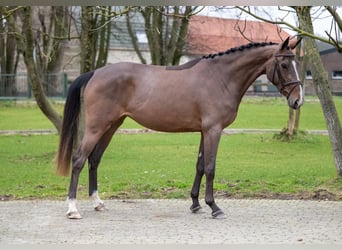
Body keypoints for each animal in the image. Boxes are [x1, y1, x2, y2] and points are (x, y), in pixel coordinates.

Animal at [56, 37, 304, 219]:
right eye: (284, 65)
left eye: (297, 65)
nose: (297, 101)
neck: (220, 77)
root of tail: (95, 73)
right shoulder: (214, 130)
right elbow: (211, 167)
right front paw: (215, 207)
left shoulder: (204, 131)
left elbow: (200, 166)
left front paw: (195, 204)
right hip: (96, 127)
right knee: (78, 160)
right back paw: (73, 209)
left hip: (111, 126)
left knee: (94, 160)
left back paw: (98, 203)